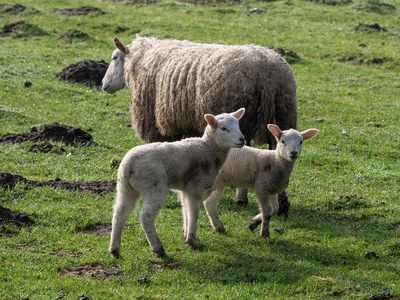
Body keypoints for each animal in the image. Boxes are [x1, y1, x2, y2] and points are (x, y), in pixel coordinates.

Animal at [101, 35, 298, 204]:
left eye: (114, 58)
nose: (103, 85)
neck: (139, 61)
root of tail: (268, 75)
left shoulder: (159, 123)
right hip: (284, 115)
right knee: (279, 153)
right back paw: (281, 200)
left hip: (244, 120)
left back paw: (241, 198)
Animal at [110, 108, 247, 258]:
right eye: (224, 129)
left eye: (238, 125)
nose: (242, 139)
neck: (208, 148)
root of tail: (129, 166)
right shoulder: (196, 187)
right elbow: (194, 212)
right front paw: (192, 241)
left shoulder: (185, 189)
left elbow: (185, 210)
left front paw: (185, 234)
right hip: (153, 186)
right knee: (146, 217)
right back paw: (158, 248)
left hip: (125, 187)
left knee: (119, 213)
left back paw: (115, 250)